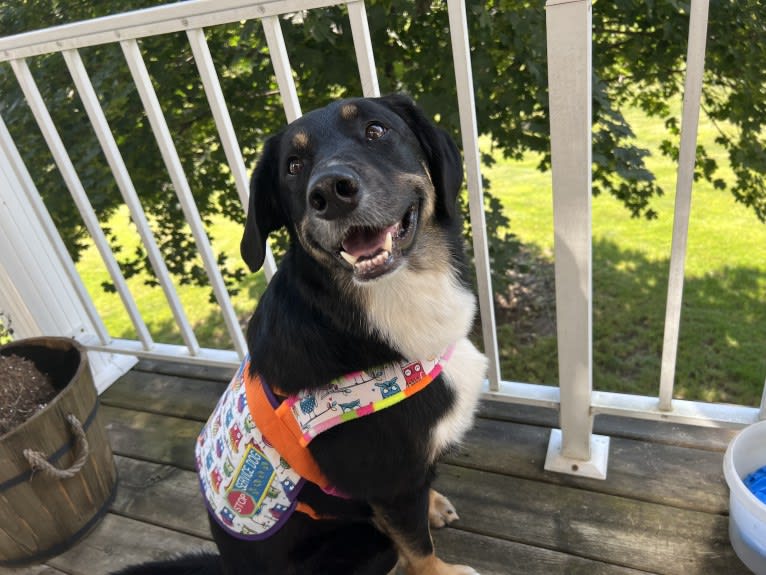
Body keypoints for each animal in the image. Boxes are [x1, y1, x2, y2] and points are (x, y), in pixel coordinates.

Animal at [117, 95, 488, 575]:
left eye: (376, 130)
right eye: (293, 166)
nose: (330, 192)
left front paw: (434, 502)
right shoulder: (388, 479)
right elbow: (417, 545)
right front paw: (440, 569)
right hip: (363, 547)